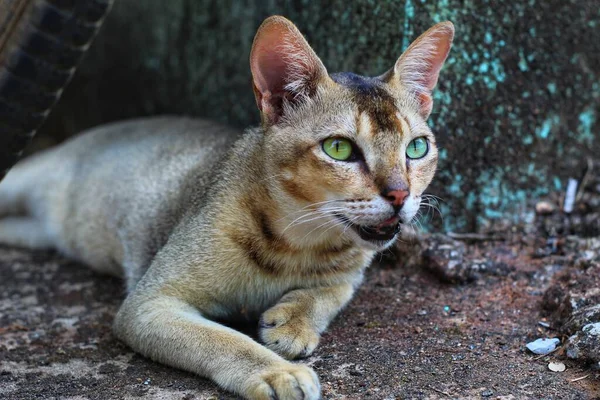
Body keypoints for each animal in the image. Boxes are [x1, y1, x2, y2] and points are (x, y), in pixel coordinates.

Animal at [0, 14, 450, 400]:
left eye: (417, 147)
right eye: (339, 148)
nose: (400, 195)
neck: (300, 242)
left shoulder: (352, 272)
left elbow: (333, 291)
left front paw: (295, 318)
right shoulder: (149, 303)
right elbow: (223, 339)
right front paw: (276, 372)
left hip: (38, 233)